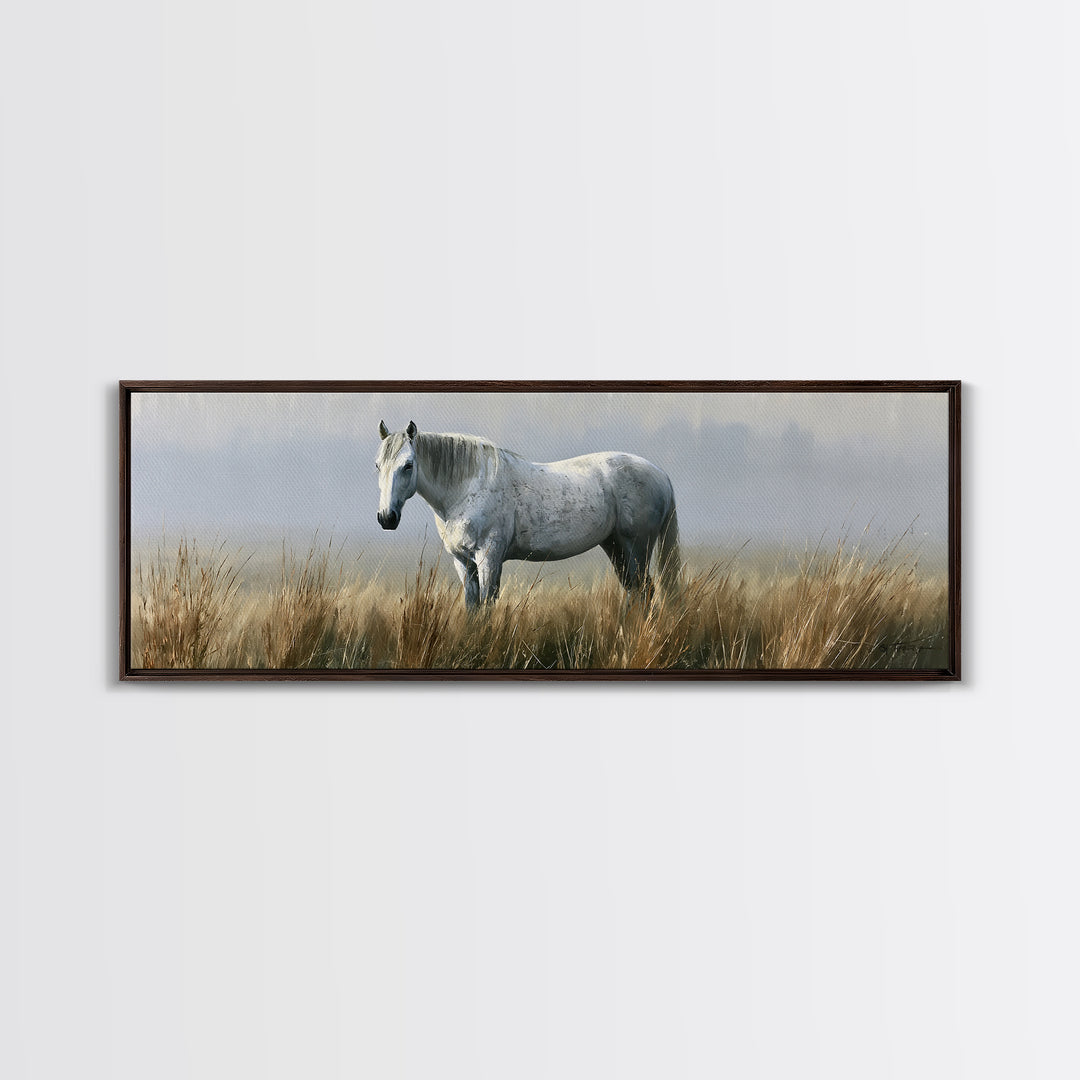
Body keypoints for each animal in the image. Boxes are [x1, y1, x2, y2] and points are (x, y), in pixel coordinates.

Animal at [374, 420, 682, 611]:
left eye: (408, 465)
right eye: (378, 465)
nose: (386, 518)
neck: (468, 486)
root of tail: (661, 474)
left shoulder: (489, 558)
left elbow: (487, 604)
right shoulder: (462, 561)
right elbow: (472, 607)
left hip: (636, 547)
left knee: (644, 591)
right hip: (615, 546)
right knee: (636, 591)